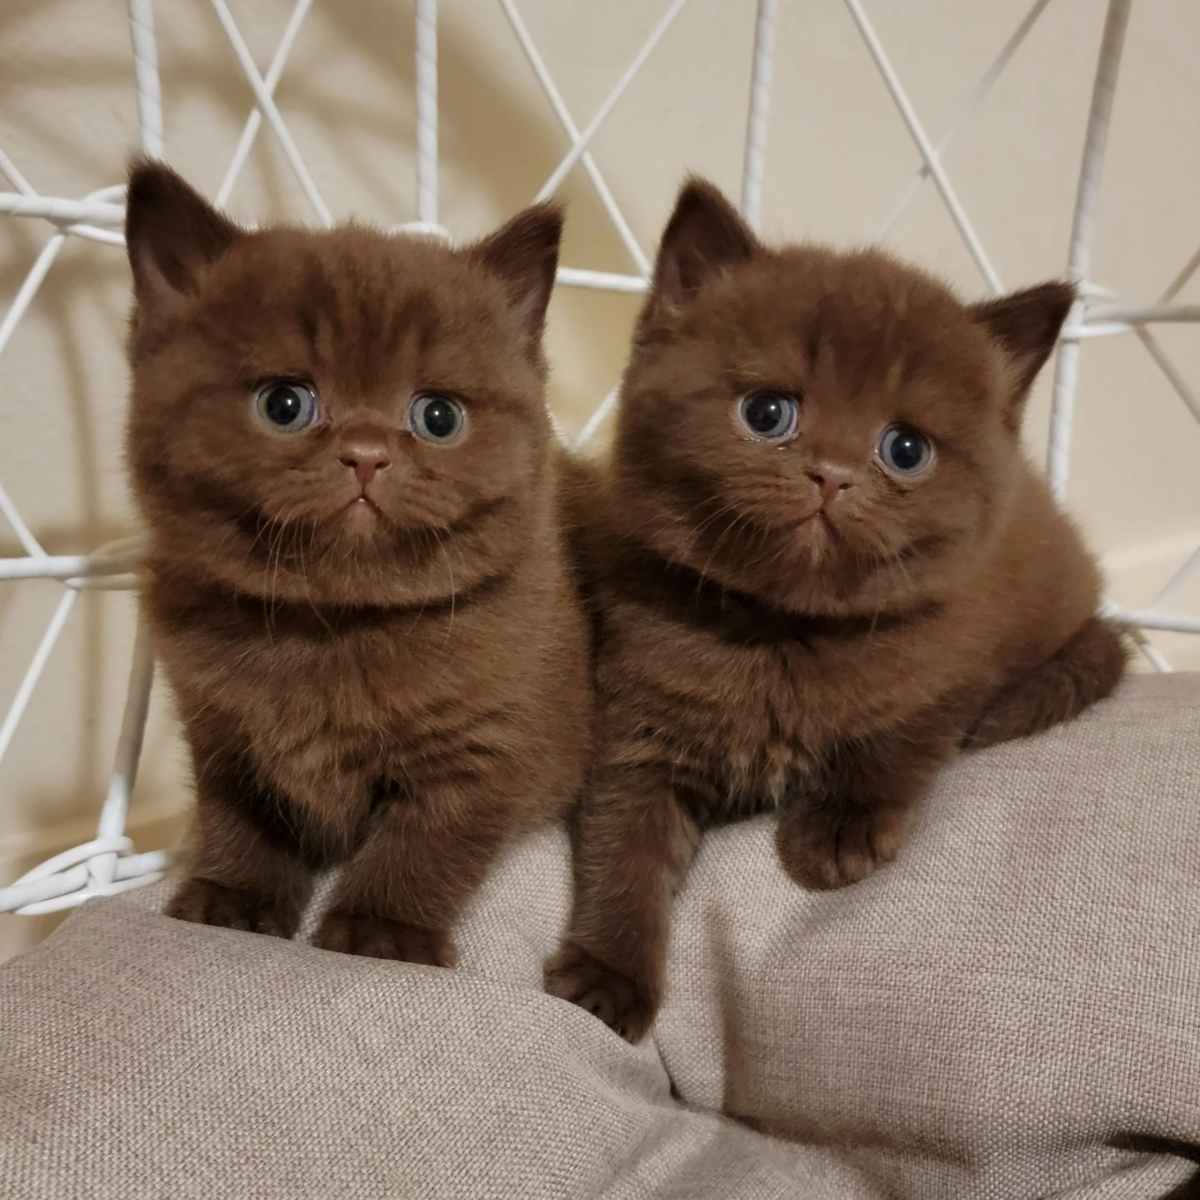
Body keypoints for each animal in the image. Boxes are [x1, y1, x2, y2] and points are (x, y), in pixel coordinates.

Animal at [126, 162, 590, 964]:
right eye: (285, 403)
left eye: (438, 416)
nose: (367, 454)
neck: (331, 626)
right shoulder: (221, 733)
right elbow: (240, 821)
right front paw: (233, 901)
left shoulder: (482, 745)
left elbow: (427, 843)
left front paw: (383, 933)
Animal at [549, 177, 1128, 1041]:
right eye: (766, 412)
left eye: (906, 449)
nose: (831, 474)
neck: (785, 629)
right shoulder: (640, 716)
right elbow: (625, 844)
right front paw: (606, 974)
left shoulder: (956, 656)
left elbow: (904, 737)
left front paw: (840, 826)